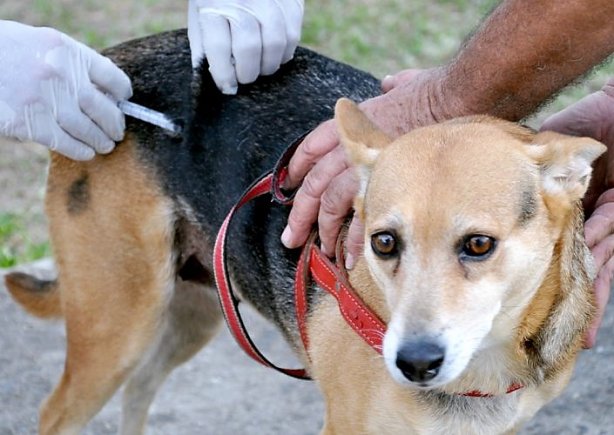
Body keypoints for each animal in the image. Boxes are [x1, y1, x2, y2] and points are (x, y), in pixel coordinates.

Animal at [4, 29, 608, 434]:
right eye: (383, 242)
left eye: (479, 245)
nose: (412, 363)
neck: (488, 362)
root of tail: (117, 60)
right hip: (119, 325)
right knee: (59, 411)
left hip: (191, 309)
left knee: (140, 390)